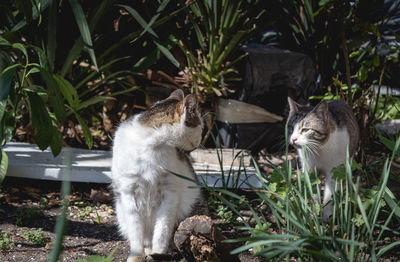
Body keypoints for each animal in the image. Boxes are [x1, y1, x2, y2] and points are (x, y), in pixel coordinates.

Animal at [111, 89, 203, 260]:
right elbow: (135, 231)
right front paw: (136, 255)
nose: (200, 140)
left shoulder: (170, 193)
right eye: (200, 125)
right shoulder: (129, 192)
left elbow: (162, 230)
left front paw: (158, 252)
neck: (151, 145)